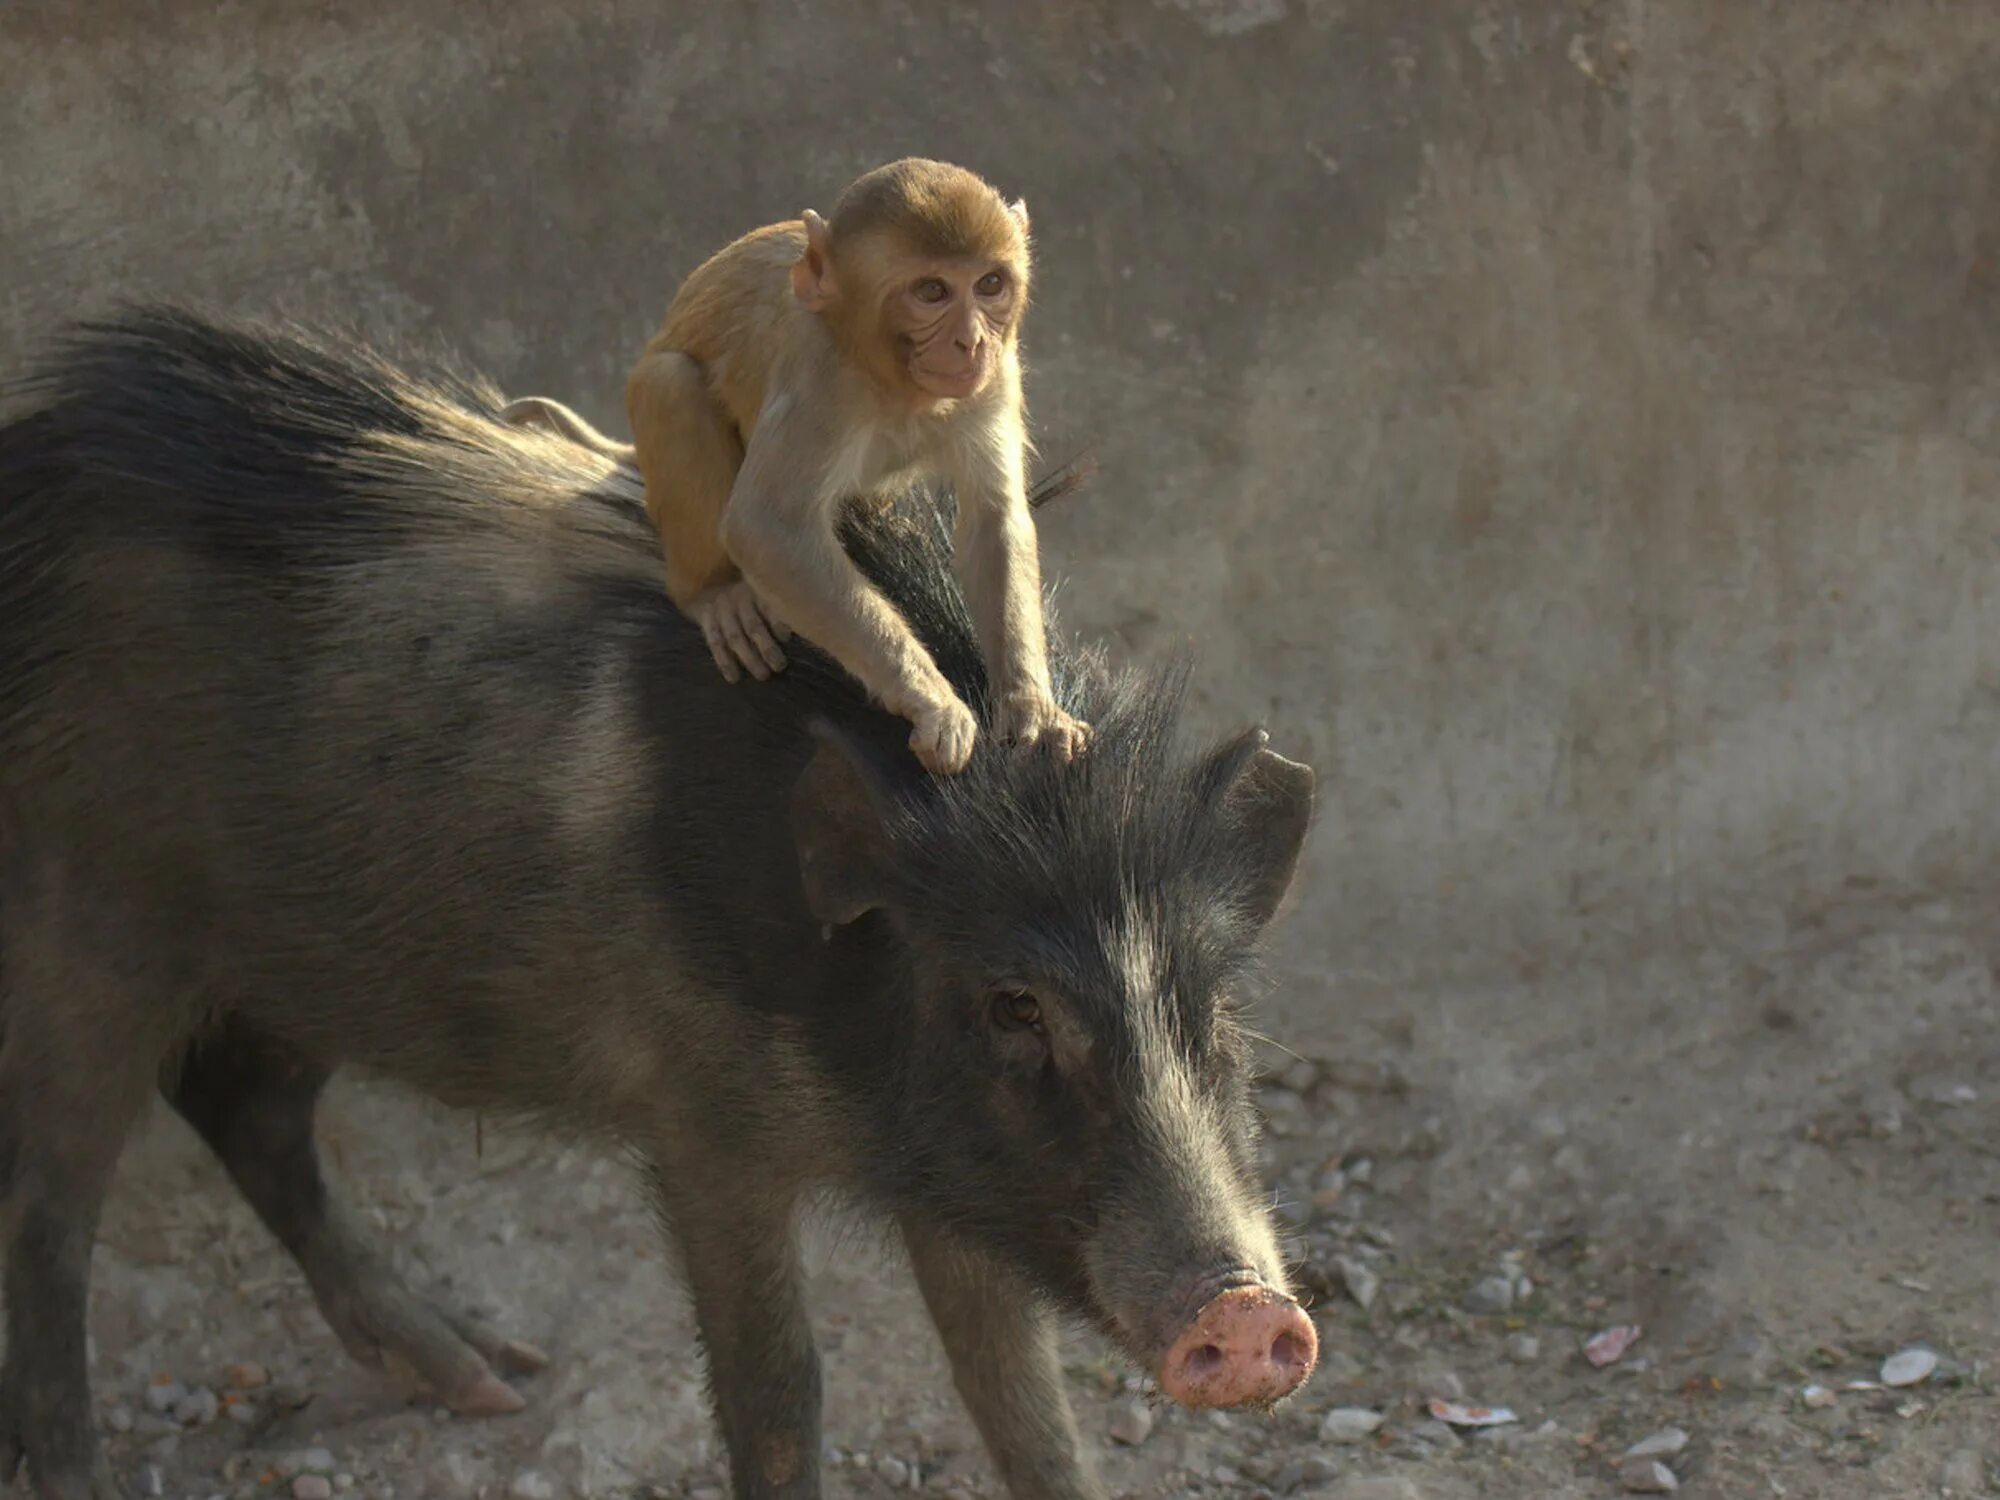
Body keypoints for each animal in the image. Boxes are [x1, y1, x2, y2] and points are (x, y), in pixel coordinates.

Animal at [3, 308, 1328, 1500]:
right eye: (1011, 1004)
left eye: (1215, 1008)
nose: (1249, 1315)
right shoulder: (701, 1126)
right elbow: (780, 1393)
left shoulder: (953, 1175)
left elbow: (1020, 1401)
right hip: (89, 925)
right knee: (55, 1208)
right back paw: (84, 1474)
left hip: (297, 962)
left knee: (244, 1110)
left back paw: (493, 1379)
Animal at [616, 160, 1096, 780]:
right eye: (932, 291)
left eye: (990, 284)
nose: (971, 342)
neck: (895, 380)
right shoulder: (820, 375)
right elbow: (767, 526)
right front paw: (931, 699)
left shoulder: (998, 372)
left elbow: (994, 519)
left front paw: (1032, 709)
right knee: (671, 382)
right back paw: (716, 593)